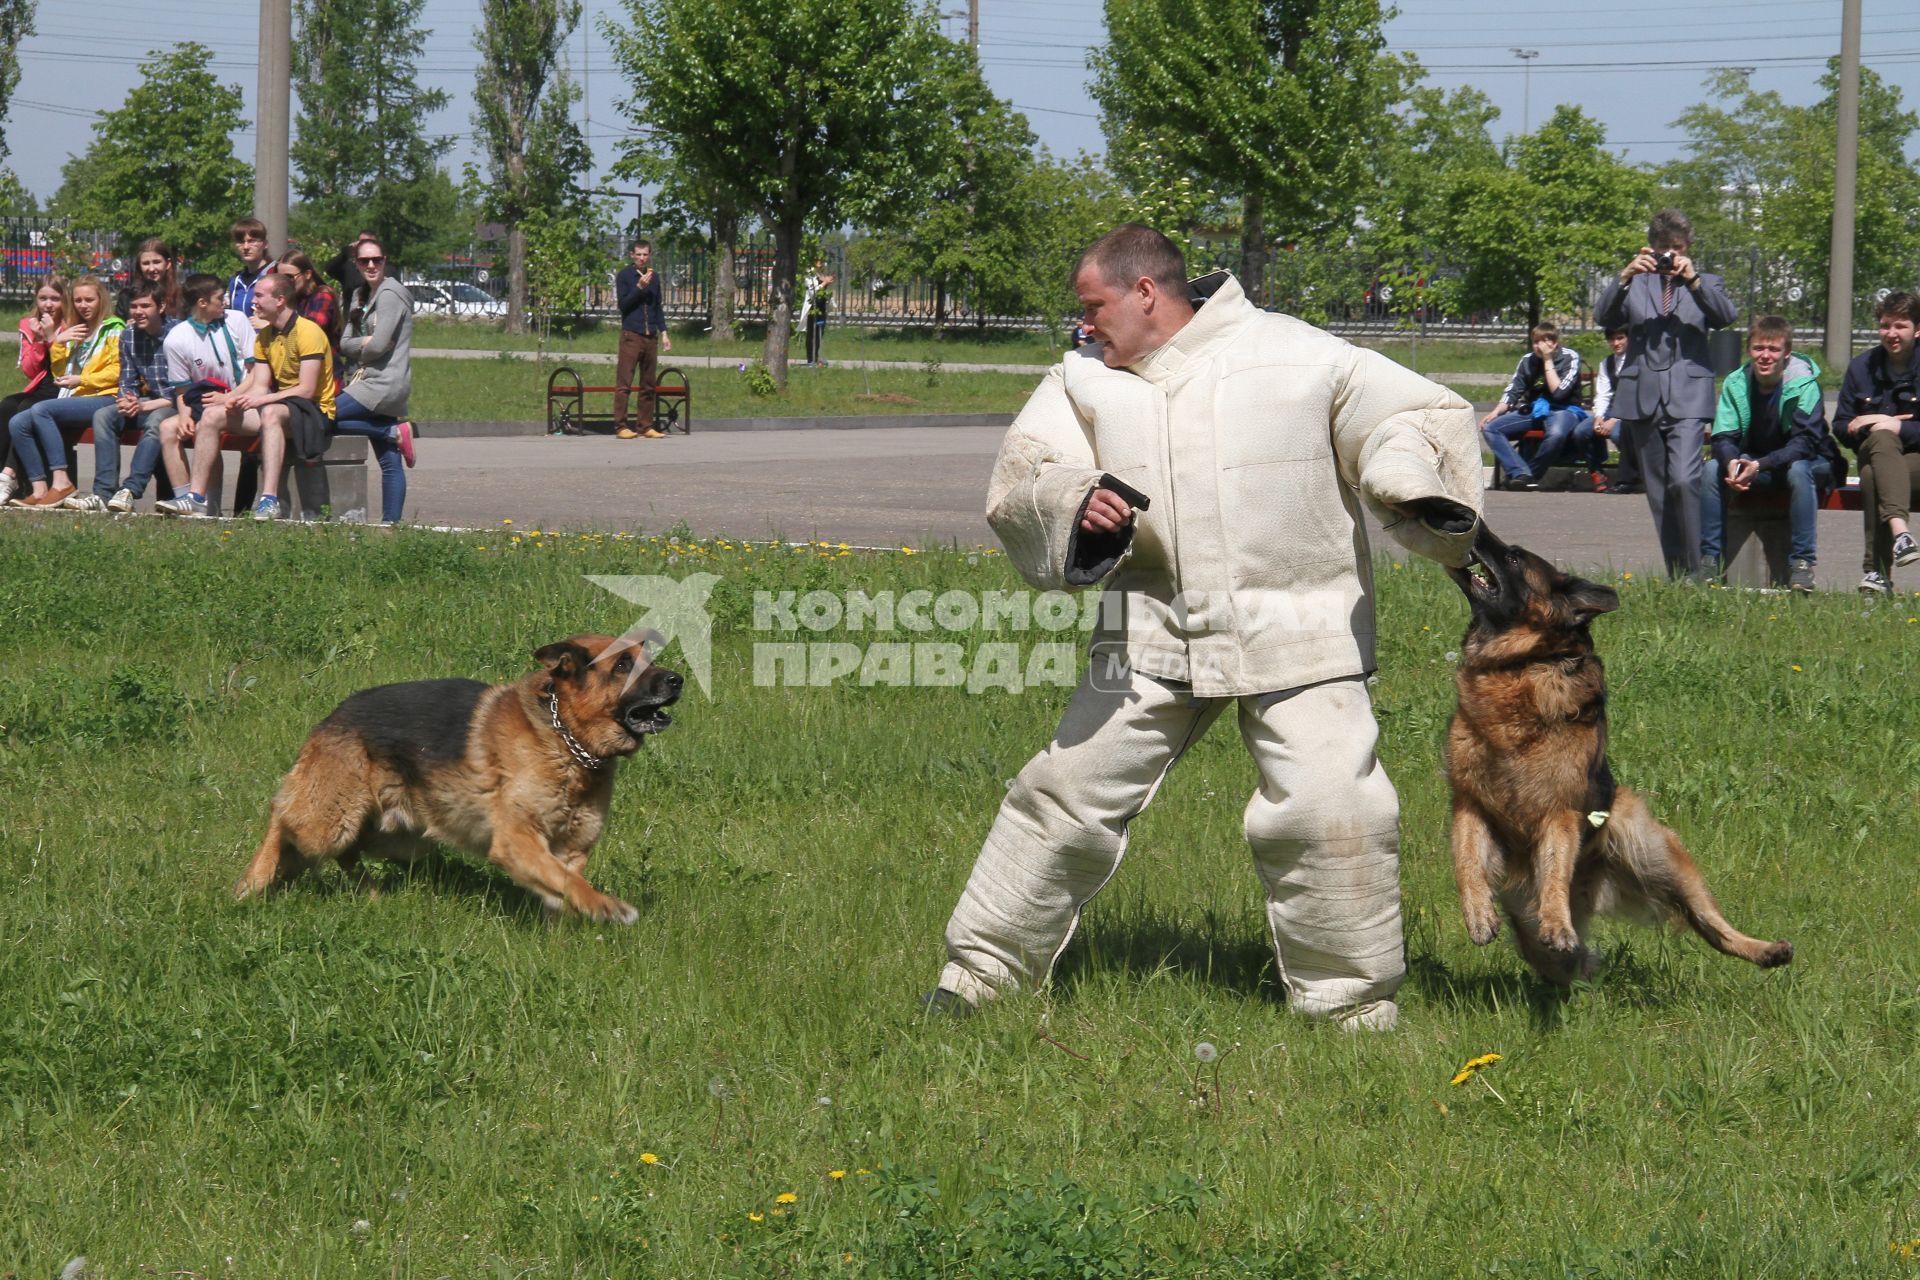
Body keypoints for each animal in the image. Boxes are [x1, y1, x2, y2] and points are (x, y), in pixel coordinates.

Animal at [1443, 525, 1789, 990]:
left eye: (1514, 558)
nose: (1470, 523)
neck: (1520, 666)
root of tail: (1594, 885)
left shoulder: (1559, 813)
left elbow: (1554, 872)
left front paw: (1557, 923)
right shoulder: (1470, 805)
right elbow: (1466, 862)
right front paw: (1478, 913)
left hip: (1657, 856)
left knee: (1710, 924)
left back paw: (1766, 950)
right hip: (1533, 915)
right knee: (1566, 961)